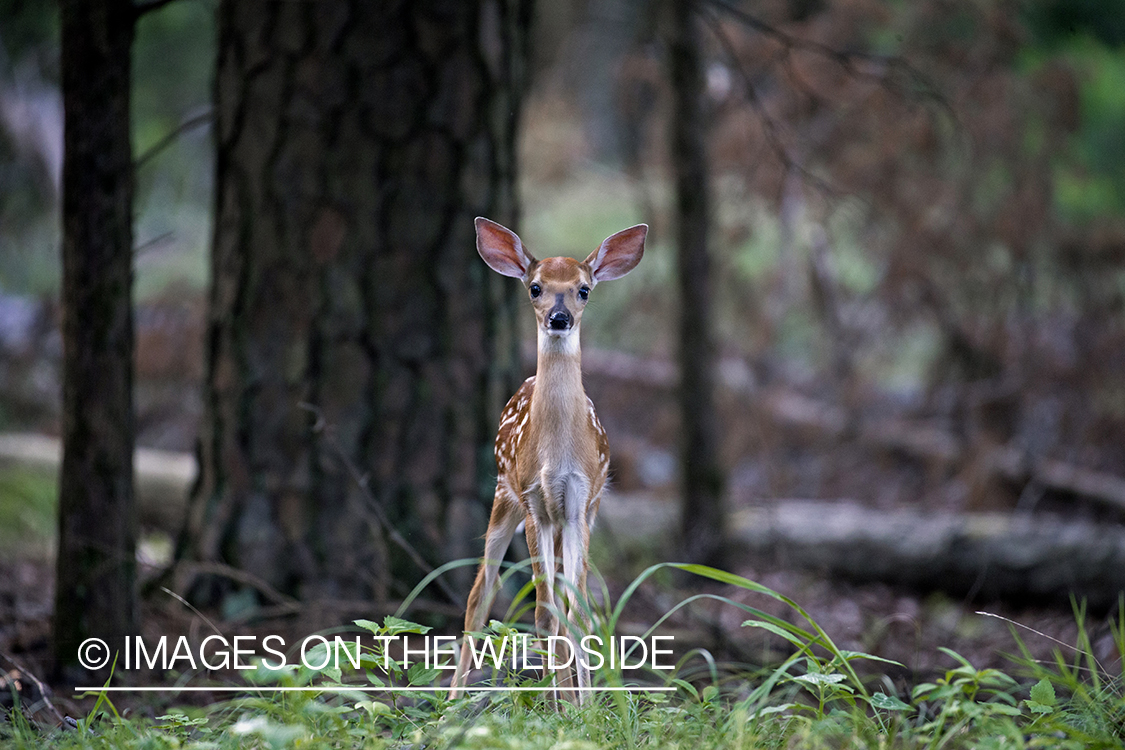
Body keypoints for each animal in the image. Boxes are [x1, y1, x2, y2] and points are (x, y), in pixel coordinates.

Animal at [449, 217, 647, 705]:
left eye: (584, 289)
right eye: (535, 287)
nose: (559, 318)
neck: (557, 455)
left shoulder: (578, 502)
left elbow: (578, 613)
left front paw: (584, 707)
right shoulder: (535, 501)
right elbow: (542, 613)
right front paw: (562, 707)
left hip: (579, 514)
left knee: (565, 599)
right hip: (505, 495)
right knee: (481, 593)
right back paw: (454, 702)